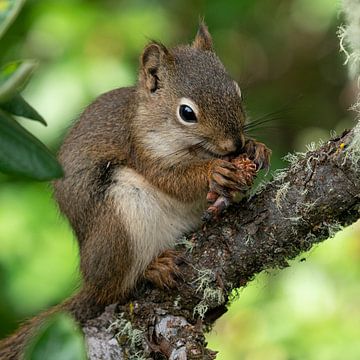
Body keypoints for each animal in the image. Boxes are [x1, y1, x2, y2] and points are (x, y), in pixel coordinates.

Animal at [0, 21, 270, 358]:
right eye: (187, 113)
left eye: (237, 92)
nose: (234, 144)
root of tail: (91, 280)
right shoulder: (142, 150)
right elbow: (174, 182)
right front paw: (214, 172)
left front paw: (256, 149)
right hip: (118, 220)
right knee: (115, 289)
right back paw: (152, 269)